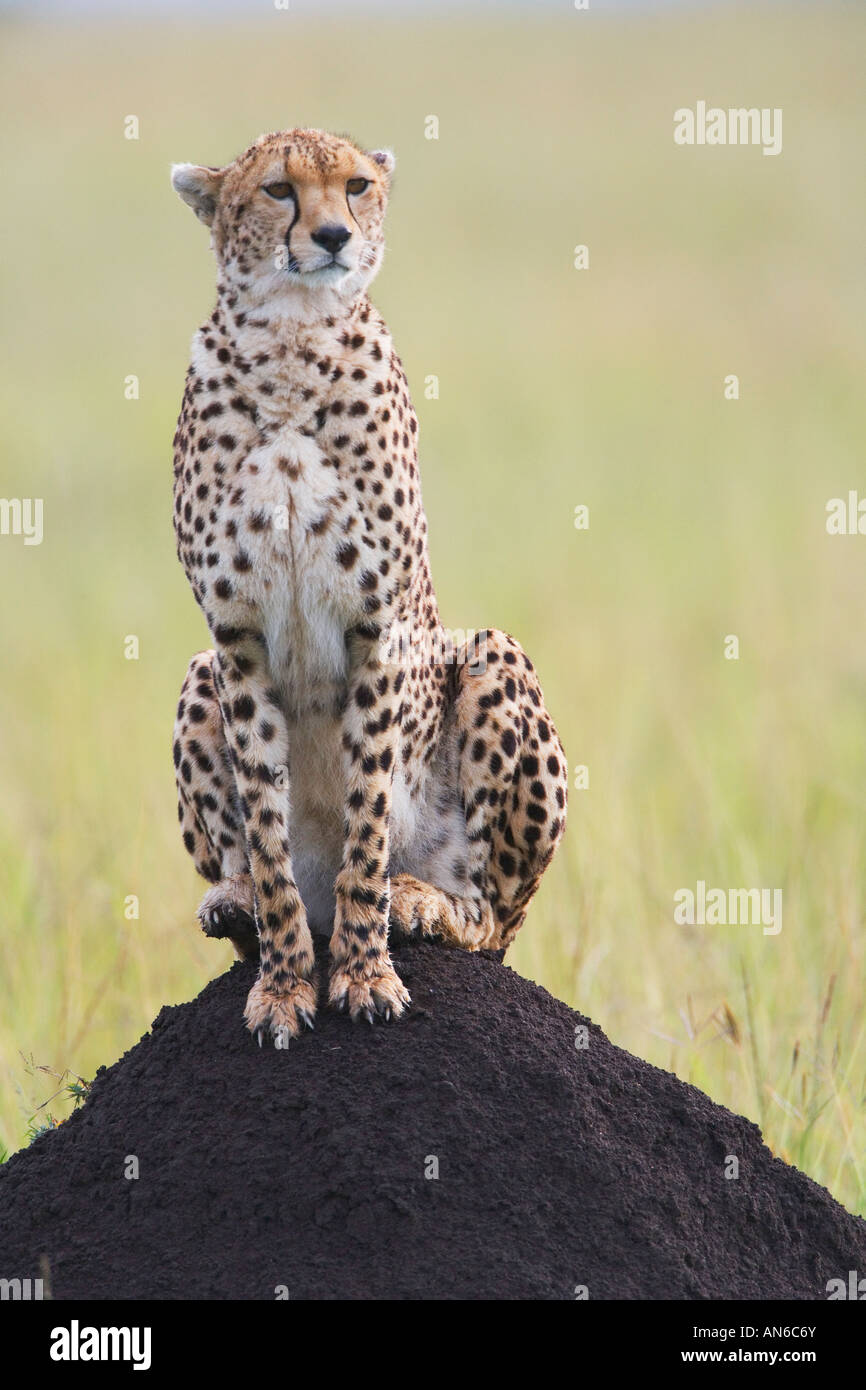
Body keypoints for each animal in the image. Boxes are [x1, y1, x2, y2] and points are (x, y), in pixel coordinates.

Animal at [169, 130, 569, 1045]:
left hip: (493, 656)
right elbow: (272, 841)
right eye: (279, 190)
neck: (291, 341)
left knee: (489, 916)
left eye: (355, 185)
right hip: (198, 675)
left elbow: (365, 822)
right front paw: (285, 985)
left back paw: (423, 900)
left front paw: (361, 974)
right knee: (247, 870)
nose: (331, 237)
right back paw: (233, 902)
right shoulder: (235, 642)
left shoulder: (376, 624)